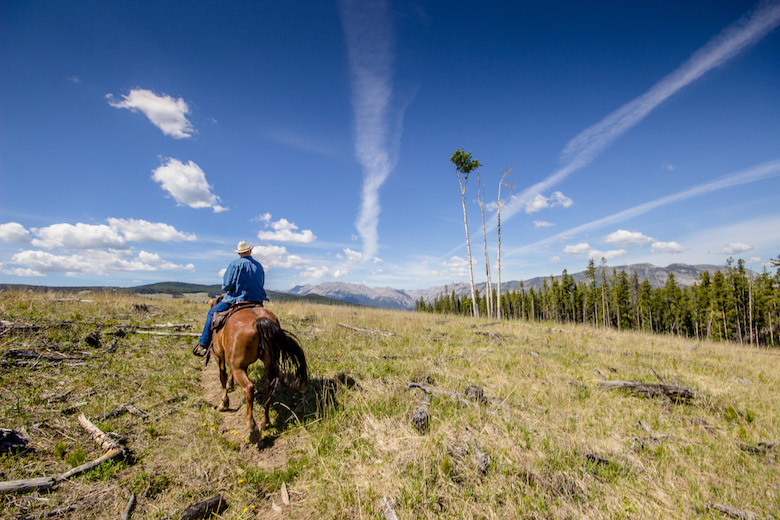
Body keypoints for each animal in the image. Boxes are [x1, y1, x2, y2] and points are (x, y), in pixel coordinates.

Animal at [210, 302, 308, 440]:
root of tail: (259, 321)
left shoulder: (219, 356)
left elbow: (222, 377)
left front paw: (223, 404)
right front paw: (230, 384)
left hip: (237, 367)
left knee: (249, 388)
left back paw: (251, 426)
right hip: (269, 364)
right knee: (268, 389)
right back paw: (264, 422)